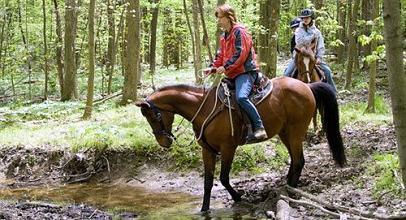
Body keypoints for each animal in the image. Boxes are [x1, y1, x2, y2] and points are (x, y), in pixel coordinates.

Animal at [136, 76, 346, 212]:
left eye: (155, 116)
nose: (164, 142)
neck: (203, 108)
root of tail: (307, 86)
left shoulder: (228, 148)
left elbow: (223, 178)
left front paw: (238, 197)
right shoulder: (207, 151)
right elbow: (208, 181)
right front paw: (204, 209)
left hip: (295, 131)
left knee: (299, 160)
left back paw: (291, 192)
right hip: (284, 132)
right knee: (295, 161)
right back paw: (285, 187)